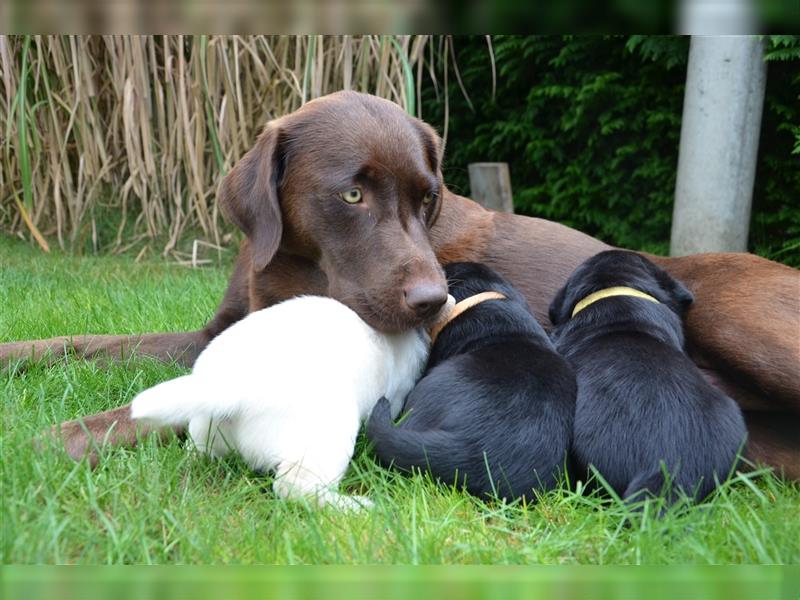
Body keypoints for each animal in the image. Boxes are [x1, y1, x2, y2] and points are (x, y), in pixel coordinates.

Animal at [1, 92, 800, 478]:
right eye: (352, 195)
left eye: (428, 198)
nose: (431, 303)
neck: (292, 265)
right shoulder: (214, 332)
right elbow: (85, 342)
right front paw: (18, 355)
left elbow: (146, 406)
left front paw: (56, 440)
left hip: (744, 322)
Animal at [134, 292, 454, 508]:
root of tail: (231, 386)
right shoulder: (398, 393)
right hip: (324, 441)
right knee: (295, 489)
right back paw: (357, 508)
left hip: (204, 432)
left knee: (197, 452)